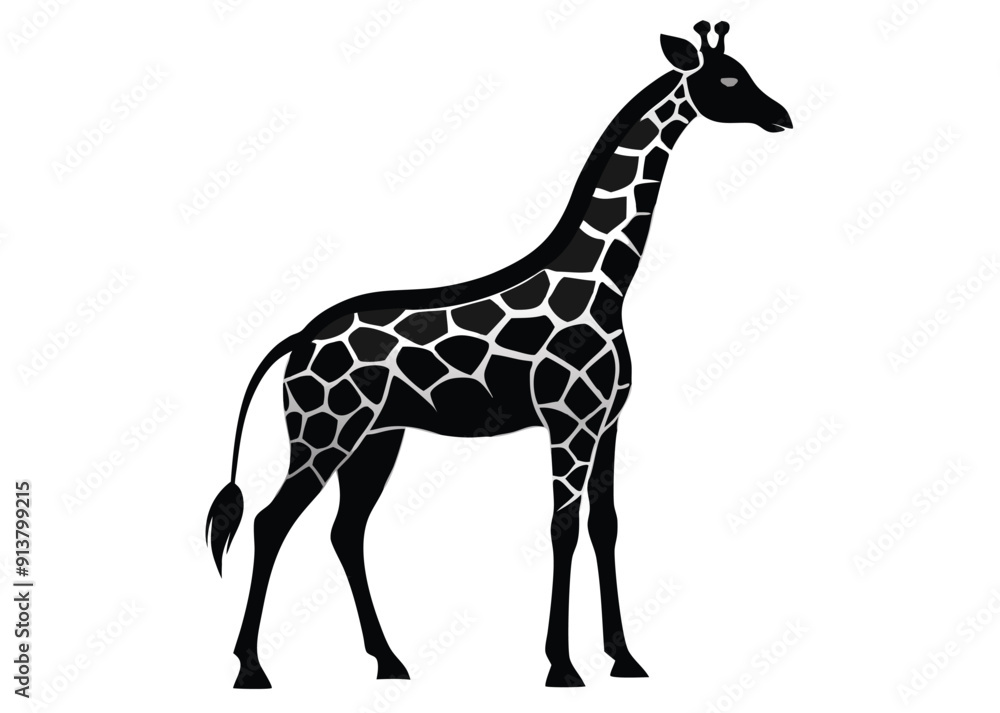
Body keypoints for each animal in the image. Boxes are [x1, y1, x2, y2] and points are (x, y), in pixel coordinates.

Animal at [207, 21, 792, 689]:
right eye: (729, 79)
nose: (781, 115)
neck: (608, 283)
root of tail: (298, 338)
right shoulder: (568, 422)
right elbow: (562, 528)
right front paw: (562, 666)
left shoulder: (608, 422)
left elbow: (605, 526)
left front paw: (624, 658)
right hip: (323, 431)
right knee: (271, 521)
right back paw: (252, 667)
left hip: (376, 438)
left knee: (344, 531)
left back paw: (390, 661)